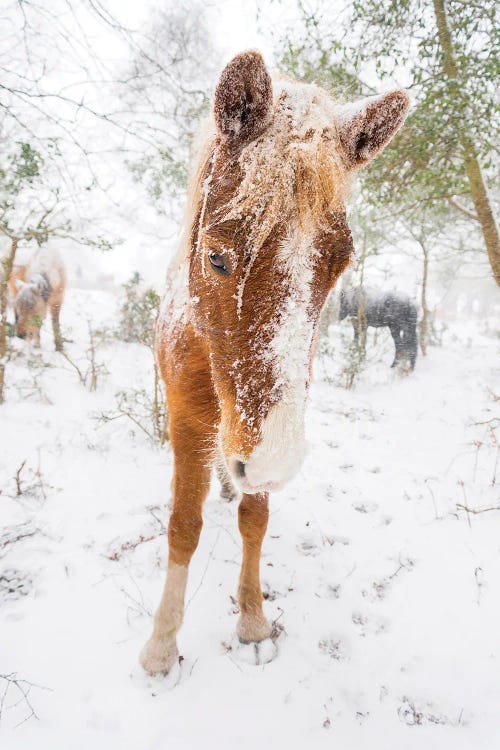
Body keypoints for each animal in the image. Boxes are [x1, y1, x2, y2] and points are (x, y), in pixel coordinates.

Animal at [140, 51, 410, 674]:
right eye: (216, 255)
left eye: (340, 261)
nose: (275, 461)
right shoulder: (190, 422)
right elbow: (182, 526)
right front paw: (162, 646)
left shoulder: (264, 431)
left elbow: (254, 521)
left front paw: (253, 618)